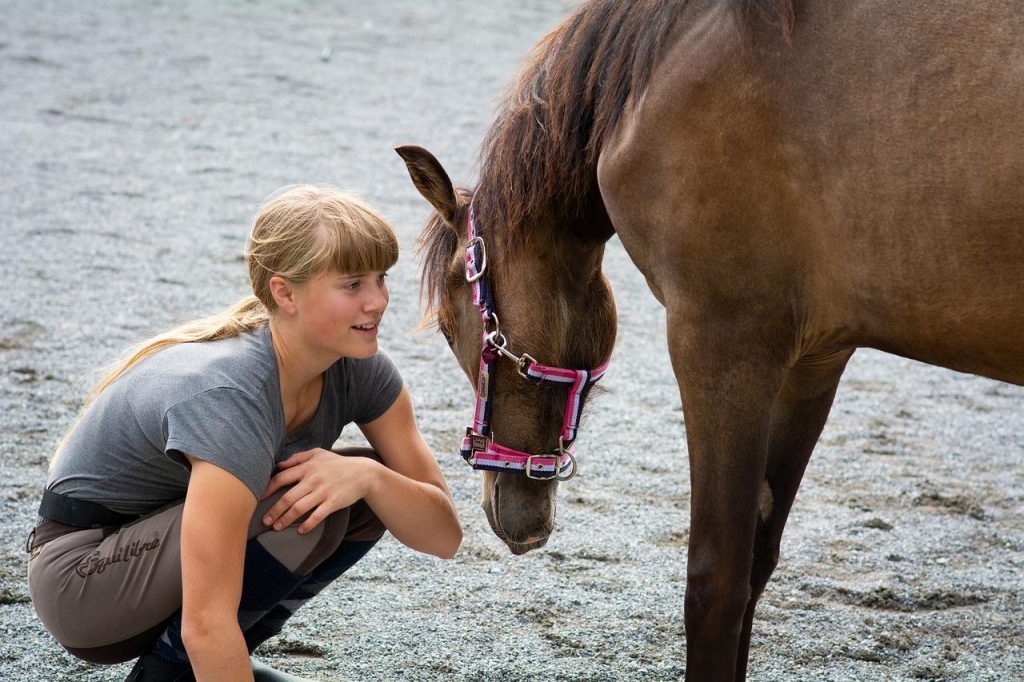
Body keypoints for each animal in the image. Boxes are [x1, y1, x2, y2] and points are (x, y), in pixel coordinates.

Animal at [398, 0, 1024, 678]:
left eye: (450, 326)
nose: (515, 515)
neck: (667, 63)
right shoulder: (813, 359)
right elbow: (755, 563)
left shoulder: (722, 340)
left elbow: (715, 580)